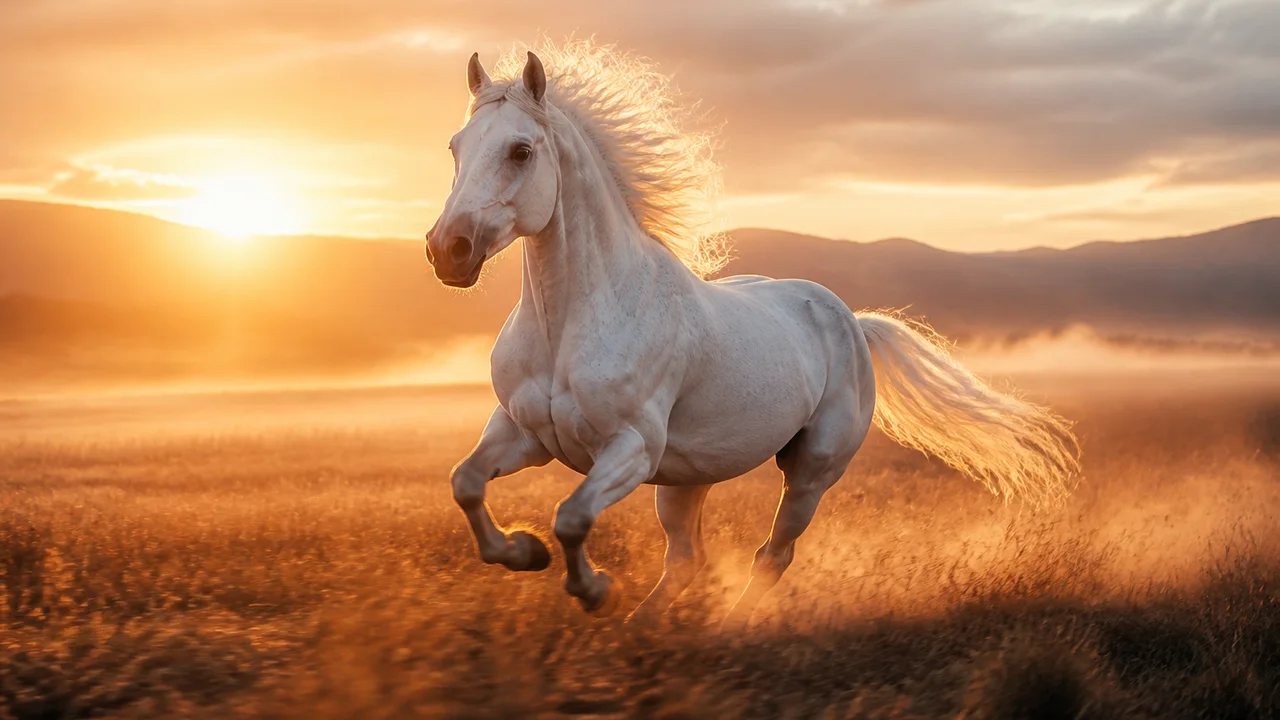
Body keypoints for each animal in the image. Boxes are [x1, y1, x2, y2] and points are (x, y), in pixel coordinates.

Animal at [423, 41, 1080, 629]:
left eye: (521, 150)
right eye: (455, 147)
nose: (447, 250)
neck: (571, 326)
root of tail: (852, 321)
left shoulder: (631, 449)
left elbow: (572, 517)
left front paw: (591, 589)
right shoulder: (525, 434)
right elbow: (465, 483)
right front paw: (523, 551)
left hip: (810, 471)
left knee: (772, 554)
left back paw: (725, 630)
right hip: (687, 479)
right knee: (688, 560)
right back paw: (642, 632)